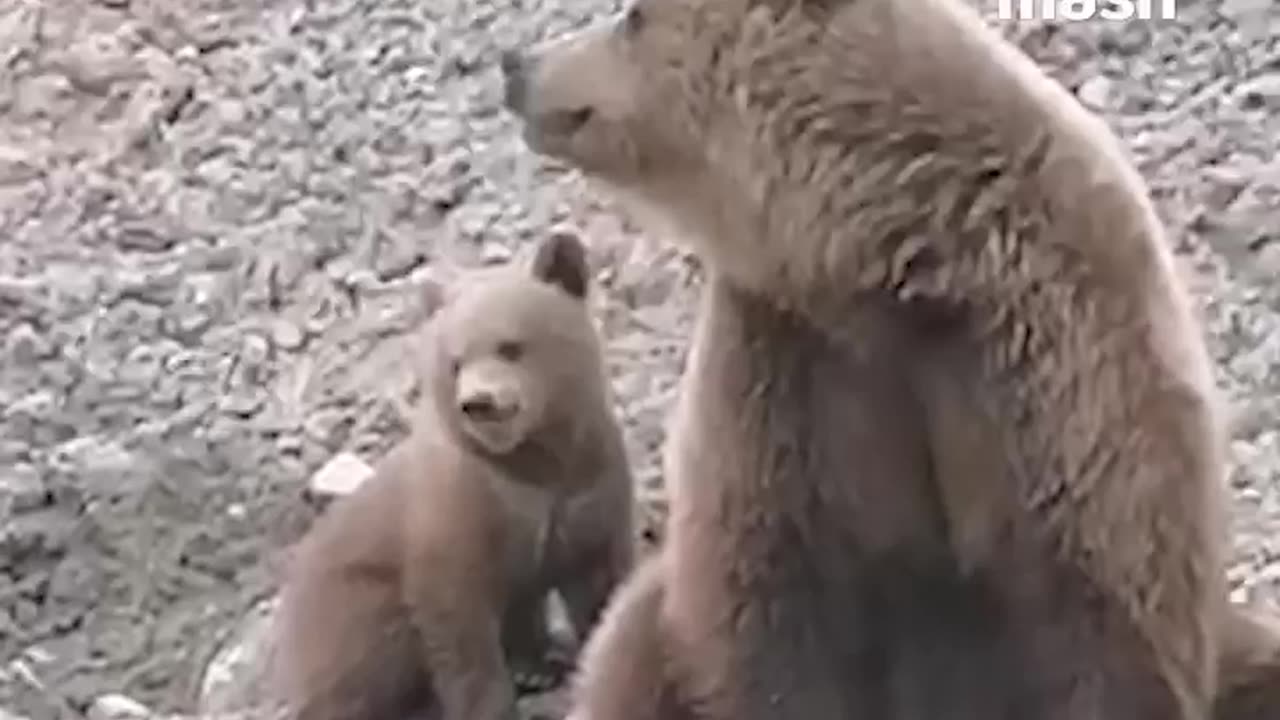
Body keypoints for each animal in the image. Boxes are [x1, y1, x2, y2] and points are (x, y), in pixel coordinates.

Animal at [276, 230, 645, 717]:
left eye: (511, 345)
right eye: (455, 361)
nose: (479, 403)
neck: (533, 464)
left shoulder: (588, 487)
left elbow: (600, 577)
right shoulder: (456, 514)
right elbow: (459, 624)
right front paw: (494, 700)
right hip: (348, 605)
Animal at [501, 0, 1239, 712]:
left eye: (631, 15)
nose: (517, 66)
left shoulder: (1055, 372)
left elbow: (1098, 623)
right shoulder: (787, 367)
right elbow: (767, 603)